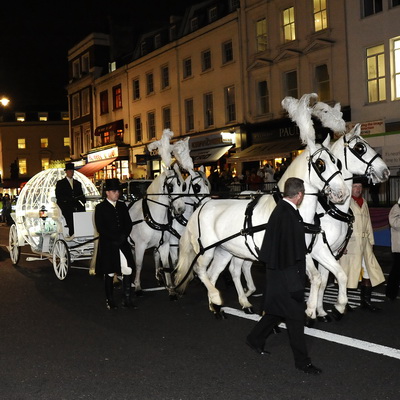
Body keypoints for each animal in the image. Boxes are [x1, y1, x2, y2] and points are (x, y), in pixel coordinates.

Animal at [130, 164, 188, 296]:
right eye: (170, 187)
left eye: (183, 185)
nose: (181, 209)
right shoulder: (140, 245)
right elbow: (139, 264)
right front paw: (138, 287)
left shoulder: (164, 244)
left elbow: (165, 264)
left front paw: (171, 289)